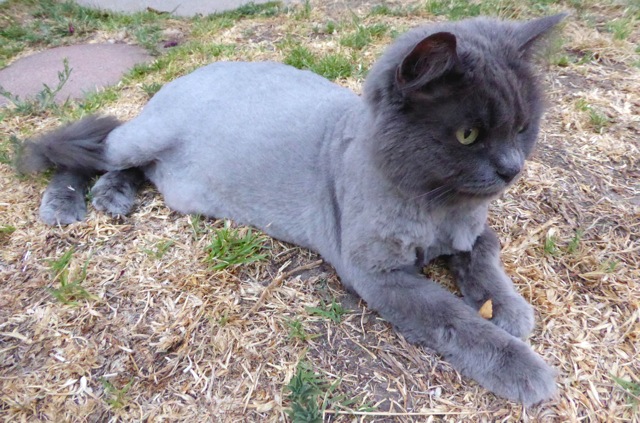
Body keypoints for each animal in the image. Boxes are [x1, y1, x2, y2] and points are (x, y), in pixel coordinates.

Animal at [17, 14, 565, 405]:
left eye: (522, 128)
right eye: (467, 135)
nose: (512, 169)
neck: (438, 206)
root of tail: (195, 70)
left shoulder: (474, 233)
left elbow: (485, 261)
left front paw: (510, 310)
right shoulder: (377, 273)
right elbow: (454, 319)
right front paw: (525, 369)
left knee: (129, 167)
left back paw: (114, 195)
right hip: (139, 137)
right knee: (82, 152)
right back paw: (69, 203)